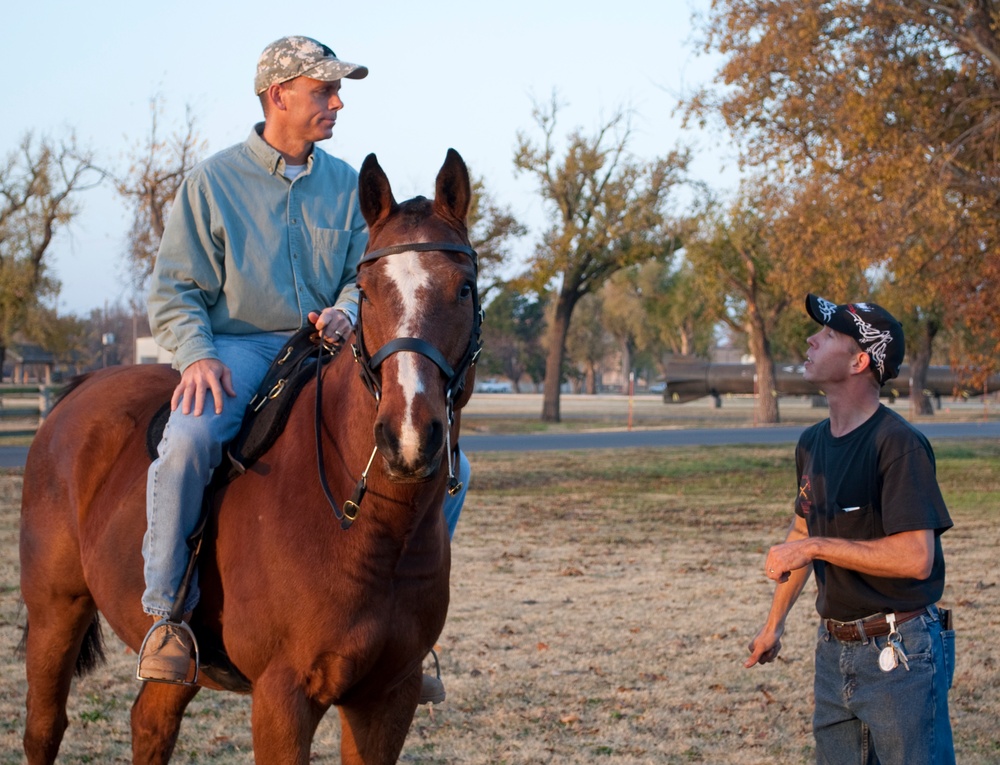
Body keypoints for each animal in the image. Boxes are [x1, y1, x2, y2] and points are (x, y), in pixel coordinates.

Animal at [18, 151, 480, 764]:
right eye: (367, 290)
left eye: (464, 289)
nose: (408, 436)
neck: (373, 525)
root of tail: (83, 385)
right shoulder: (283, 697)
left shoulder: (388, 697)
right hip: (56, 611)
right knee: (45, 727)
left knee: (150, 724)